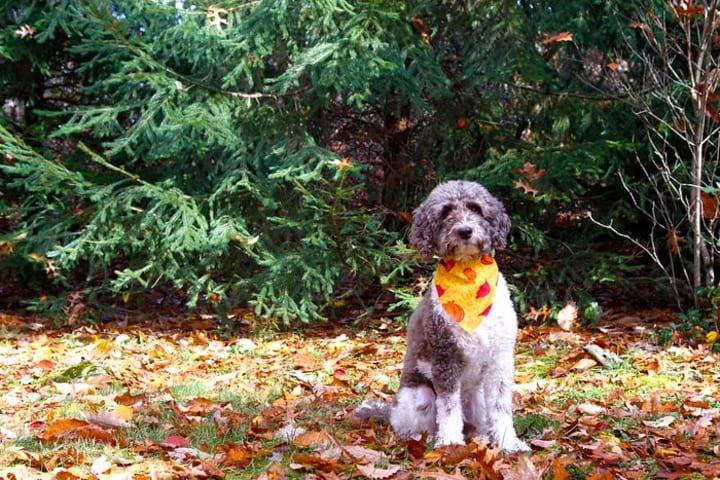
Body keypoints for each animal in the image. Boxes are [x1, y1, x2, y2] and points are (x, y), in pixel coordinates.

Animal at [356, 180, 529, 452]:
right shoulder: (445, 357)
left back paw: (481, 438)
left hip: (477, 395)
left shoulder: (499, 359)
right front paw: (449, 442)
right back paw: (420, 439)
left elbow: (501, 406)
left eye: (476, 208)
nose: (465, 230)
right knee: (410, 425)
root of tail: (389, 409)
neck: (468, 275)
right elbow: (448, 408)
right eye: (446, 211)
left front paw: (507, 442)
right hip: (417, 396)